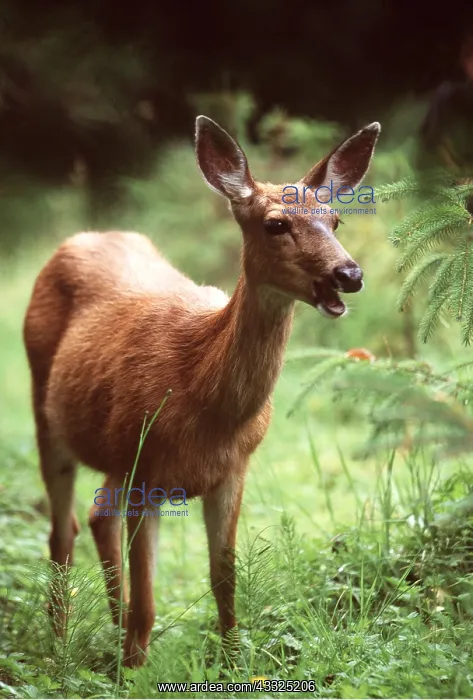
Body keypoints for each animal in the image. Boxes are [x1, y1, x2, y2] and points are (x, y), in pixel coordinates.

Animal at [23, 115, 380, 667]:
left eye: (336, 221)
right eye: (276, 224)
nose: (349, 273)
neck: (201, 393)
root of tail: (85, 236)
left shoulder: (231, 469)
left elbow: (225, 580)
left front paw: (235, 664)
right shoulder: (146, 472)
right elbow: (150, 601)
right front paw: (133, 672)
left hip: (114, 447)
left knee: (98, 515)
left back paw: (108, 629)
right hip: (49, 413)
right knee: (63, 531)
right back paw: (62, 646)